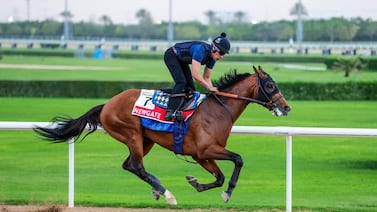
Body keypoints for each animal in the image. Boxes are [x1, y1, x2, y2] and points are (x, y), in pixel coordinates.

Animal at [33, 65, 290, 205]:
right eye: (270, 85)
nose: (286, 107)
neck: (219, 110)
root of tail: (107, 104)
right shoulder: (206, 149)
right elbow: (238, 159)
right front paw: (227, 193)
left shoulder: (200, 155)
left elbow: (219, 177)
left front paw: (196, 183)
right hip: (132, 134)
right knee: (137, 166)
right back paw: (166, 193)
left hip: (145, 140)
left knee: (130, 165)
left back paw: (157, 188)